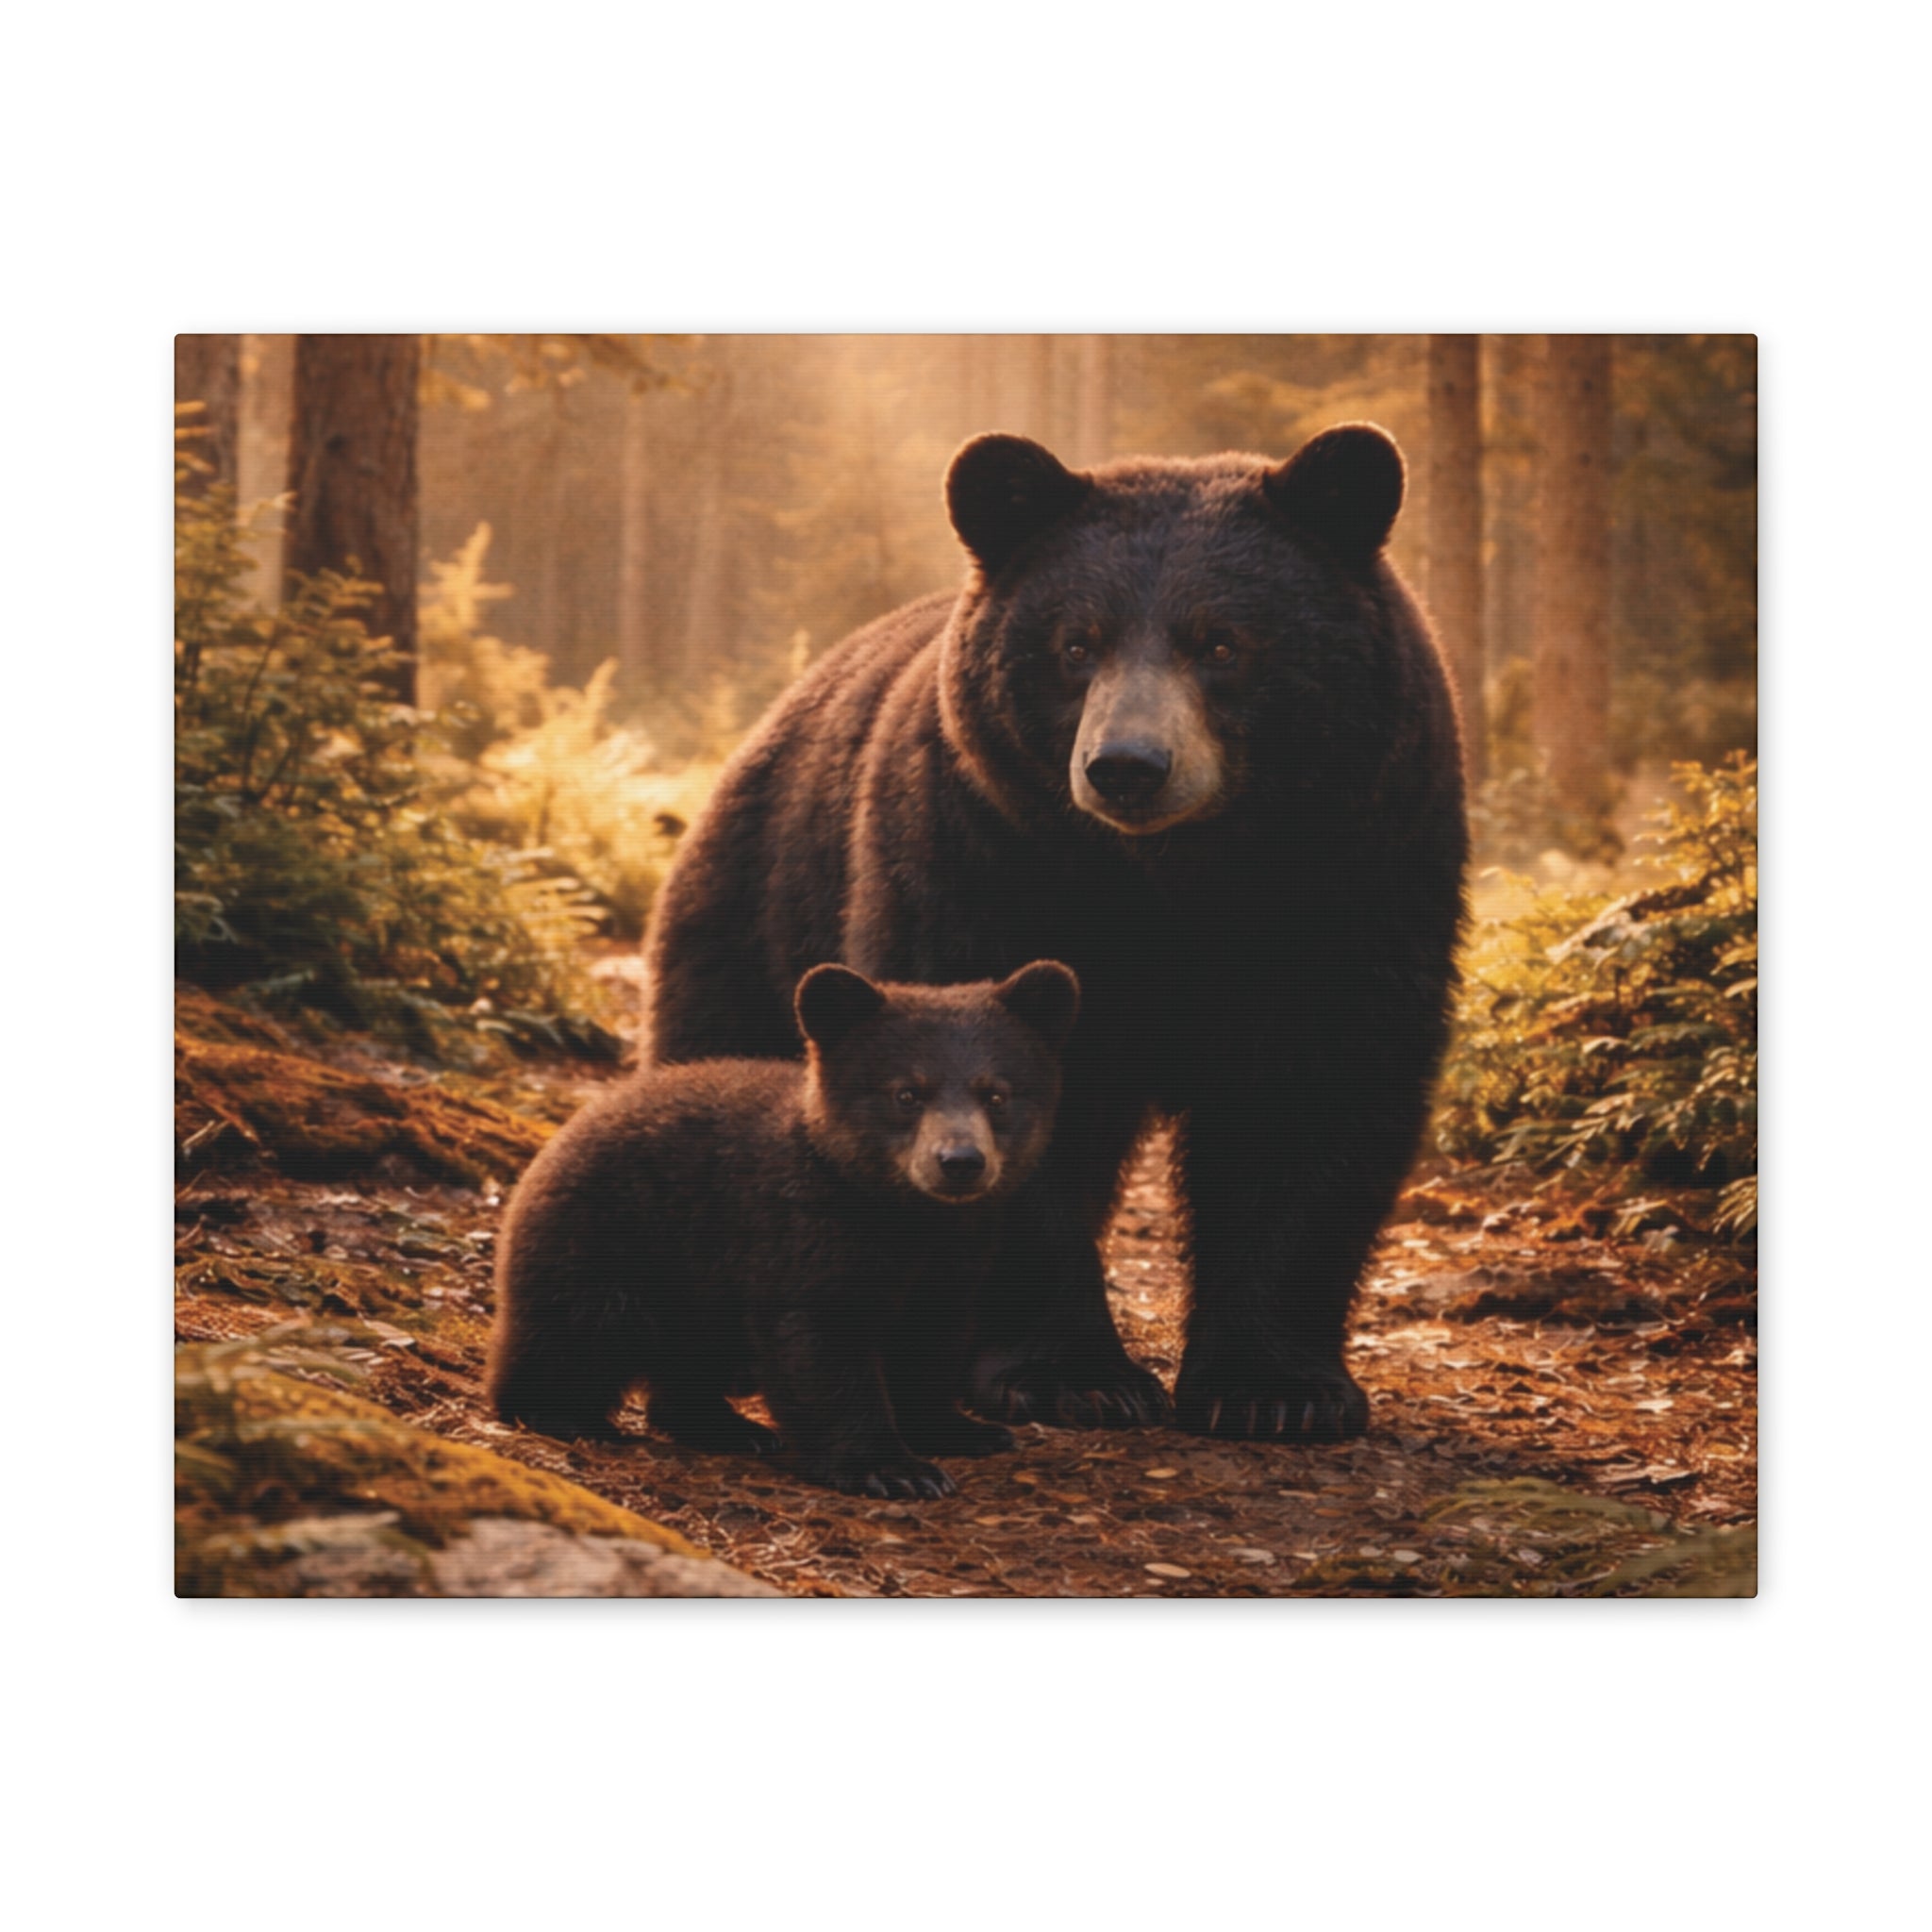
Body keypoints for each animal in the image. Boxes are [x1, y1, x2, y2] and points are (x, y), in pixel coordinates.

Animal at [487, 959, 1081, 1498]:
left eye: (997, 1094)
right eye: (907, 1093)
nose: (960, 1162)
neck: (901, 1216)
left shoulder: (956, 1255)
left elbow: (932, 1339)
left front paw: (962, 1430)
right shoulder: (803, 1235)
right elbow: (820, 1346)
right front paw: (893, 1468)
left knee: (687, 1357)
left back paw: (729, 1427)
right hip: (612, 1241)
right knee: (577, 1332)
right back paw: (565, 1415)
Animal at [642, 423, 1468, 1442]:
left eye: (1221, 641)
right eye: (1078, 642)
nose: (1127, 766)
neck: (1177, 884)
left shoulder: (1357, 877)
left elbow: (1313, 1096)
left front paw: (1274, 1387)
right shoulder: (985, 861)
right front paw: (1071, 1374)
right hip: (760, 907)